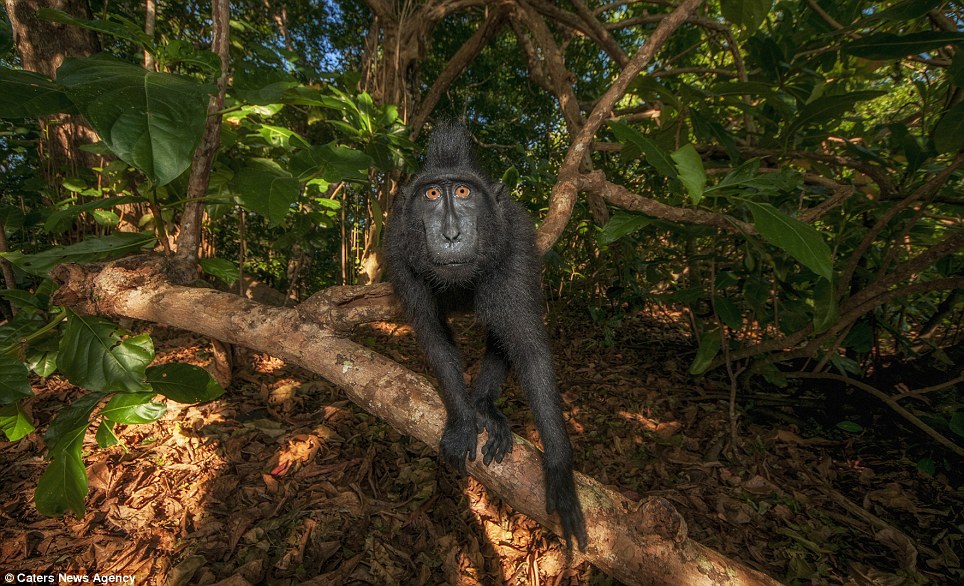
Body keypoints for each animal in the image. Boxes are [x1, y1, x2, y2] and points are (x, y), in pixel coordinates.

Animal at [384, 122, 588, 548]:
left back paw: (485, 406)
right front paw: (463, 420)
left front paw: (560, 469)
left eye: (463, 192)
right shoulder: (396, 249)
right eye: (432, 194)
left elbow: (527, 345)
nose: (450, 234)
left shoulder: (516, 242)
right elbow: (433, 336)